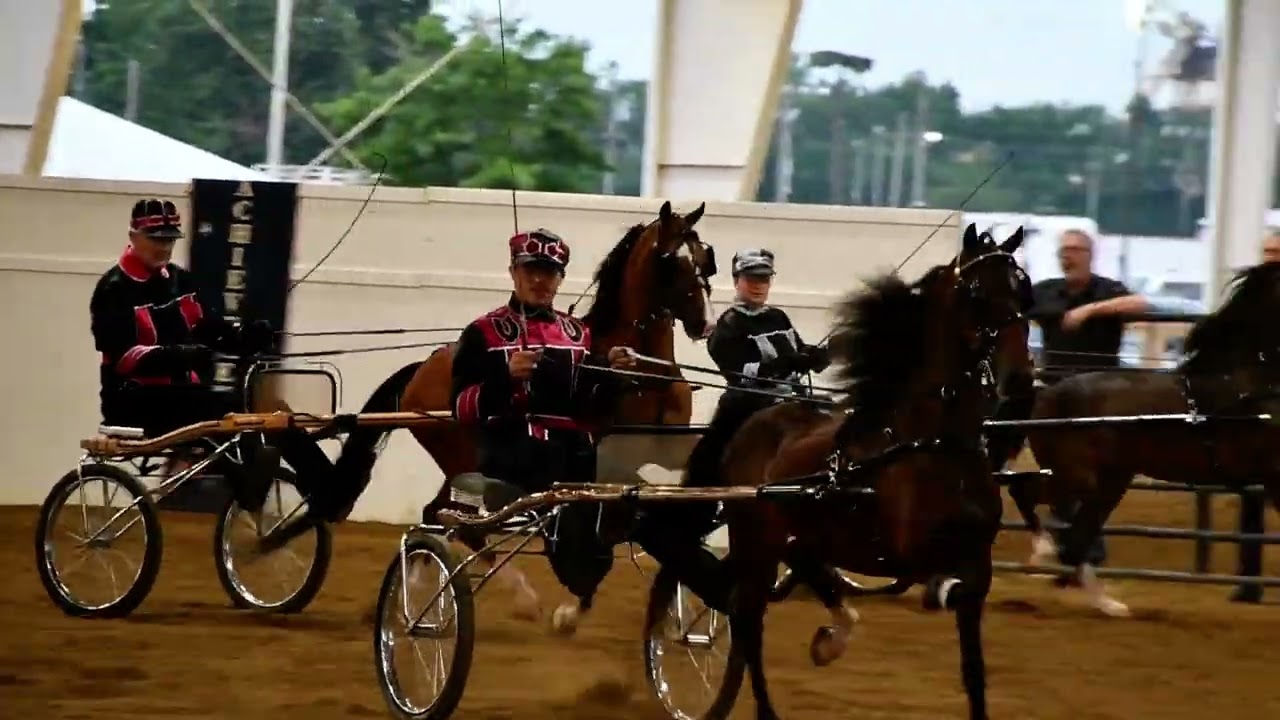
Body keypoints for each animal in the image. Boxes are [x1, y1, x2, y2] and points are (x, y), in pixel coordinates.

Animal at [329, 199, 719, 628]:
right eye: (670, 261)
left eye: (703, 258)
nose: (706, 323)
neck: (640, 373)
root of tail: (424, 366)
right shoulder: (606, 460)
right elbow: (612, 520)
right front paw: (570, 610)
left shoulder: (669, 445)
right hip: (465, 459)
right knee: (462, 523)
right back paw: (518, 598)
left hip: (464, 468)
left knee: (440, 514)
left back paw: (414, 588)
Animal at [713, 224, 1033, 720]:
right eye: (977, 292)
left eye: (1023, 287)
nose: (1019, 378)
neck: (934, 445)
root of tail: (756, 421)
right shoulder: (911, 557)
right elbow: (937, 586)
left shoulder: (977, 564)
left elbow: (974, 672)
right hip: (755, 543)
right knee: (748, 620)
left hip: (796, 537)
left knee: (793, 582)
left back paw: (832, 636)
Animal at [1012, 261, 1280, 617]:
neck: (1241, 385)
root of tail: (1046, 394)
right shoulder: (1272, 474)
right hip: (1077, 477)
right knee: (1026, 494)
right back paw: (1042, 552)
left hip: (1109, 482)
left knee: (1077, 539)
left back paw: (1109, 605)